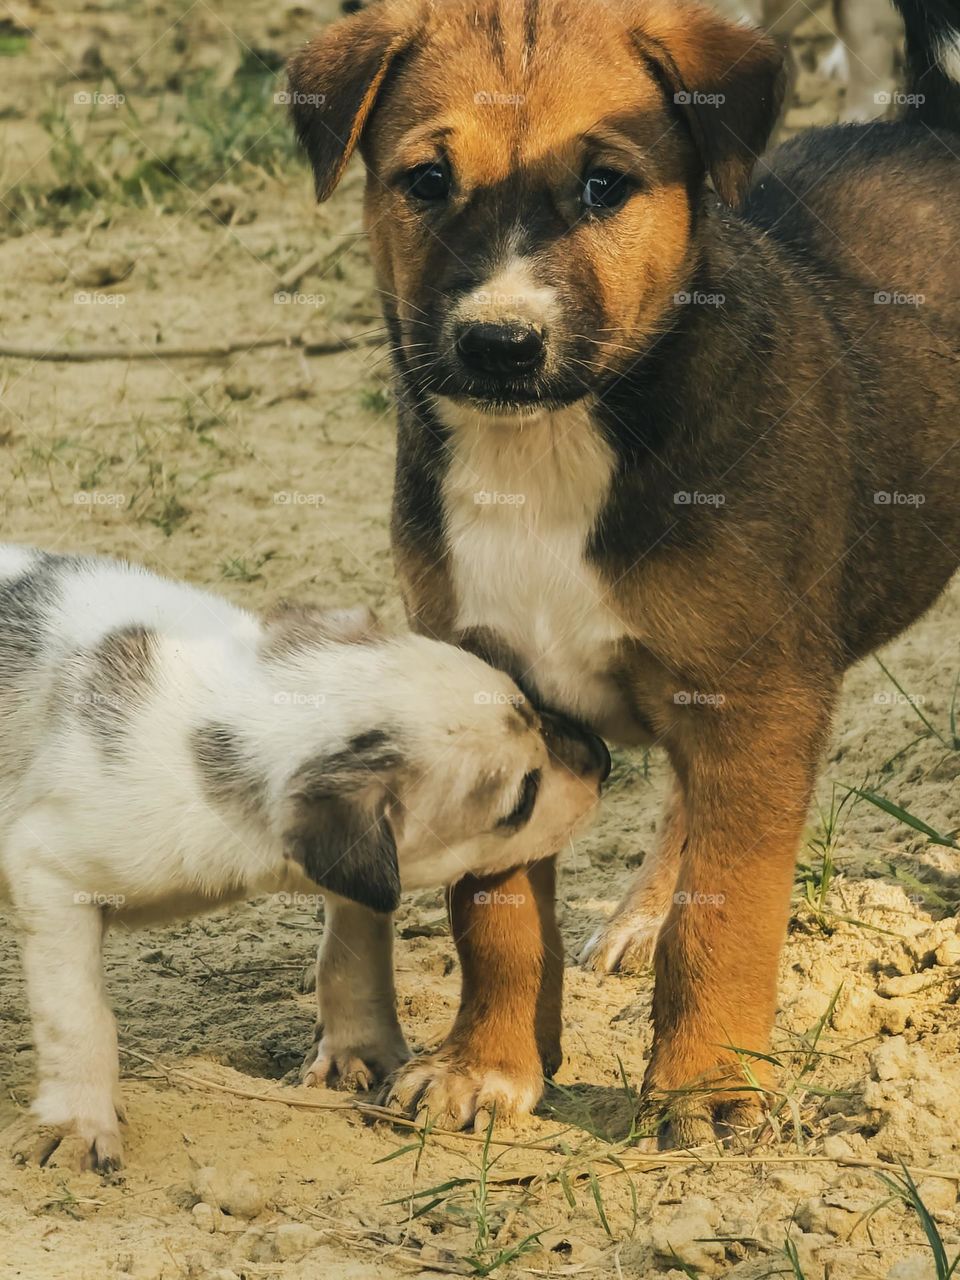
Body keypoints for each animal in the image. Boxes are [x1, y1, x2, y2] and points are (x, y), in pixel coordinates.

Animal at [0, 545, 604, 1167]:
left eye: (529, 707)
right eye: (522, 798)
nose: (603, 759)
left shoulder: (359, 879)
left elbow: (352, 958)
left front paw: (357, 1048)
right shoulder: (50, 876)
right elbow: (78, 1017)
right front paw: (77, 1123)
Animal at [289, 0, 960, 1141]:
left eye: (606, 185)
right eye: (426, 181)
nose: (500, 343)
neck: (550, 450)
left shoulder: (757, 691)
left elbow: (728, 913)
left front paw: (708, 1087)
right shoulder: (504, 688)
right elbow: (495, 909)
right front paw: (488, 1066)